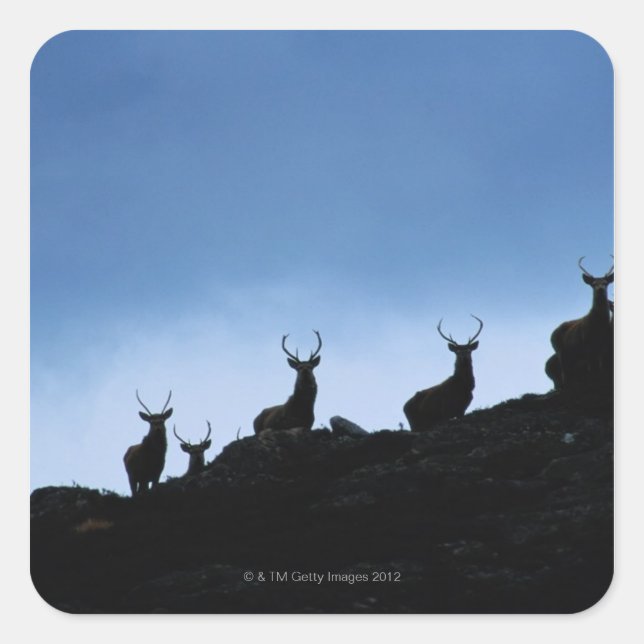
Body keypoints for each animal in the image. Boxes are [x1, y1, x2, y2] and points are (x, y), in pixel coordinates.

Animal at [550, 256, 613, 389]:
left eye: (605, 283)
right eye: (593, 284)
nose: (600, 289)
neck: (599, 324)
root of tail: (551, 335)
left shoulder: (603, 344)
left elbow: (601, 366)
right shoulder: (586, 342)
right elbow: (590, 368)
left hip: (571, 354)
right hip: (559, 350)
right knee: (564, 372)